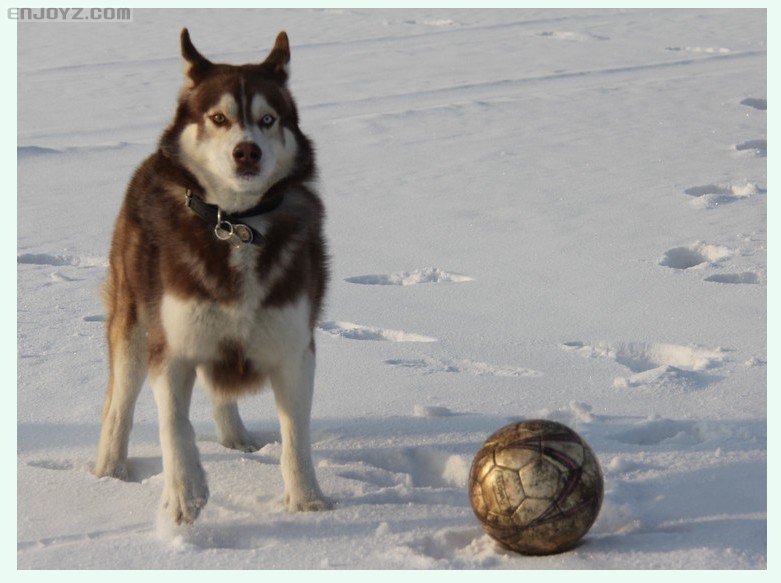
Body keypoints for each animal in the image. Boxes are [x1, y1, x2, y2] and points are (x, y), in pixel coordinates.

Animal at [94, 29, 332, 528]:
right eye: (219, 118)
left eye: (267, 119)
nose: (247, 150)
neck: (236, 224)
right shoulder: (171, 346)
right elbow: (174, 425)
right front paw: (184, 494)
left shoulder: (295, 348)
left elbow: (296, 435)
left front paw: (307, 501)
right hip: (133, 319)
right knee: (119, 402)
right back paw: (108, 470)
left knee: (219, 389)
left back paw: (235, 436)